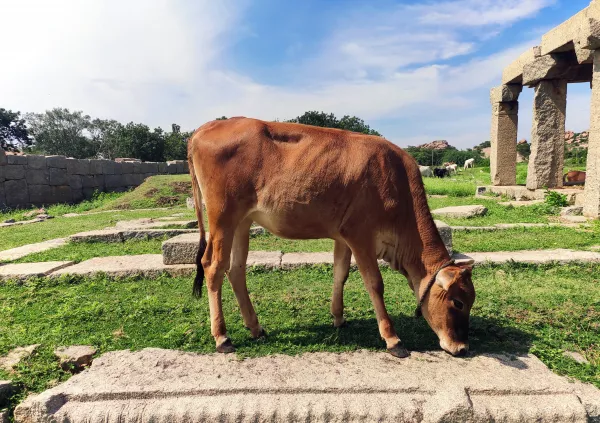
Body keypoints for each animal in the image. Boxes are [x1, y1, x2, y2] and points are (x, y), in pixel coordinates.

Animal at [188, 117, 478, 360]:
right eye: (458, 302)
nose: (462, 348)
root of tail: (206, 127)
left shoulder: (343, 235)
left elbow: (340, 273)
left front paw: (338, 317)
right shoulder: (360, 234)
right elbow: (374, 283)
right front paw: (392, 339)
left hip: (242, 221)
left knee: (236, 270)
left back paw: (256, 327)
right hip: (223, 216)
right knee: (213, 266)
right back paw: (222, 337)